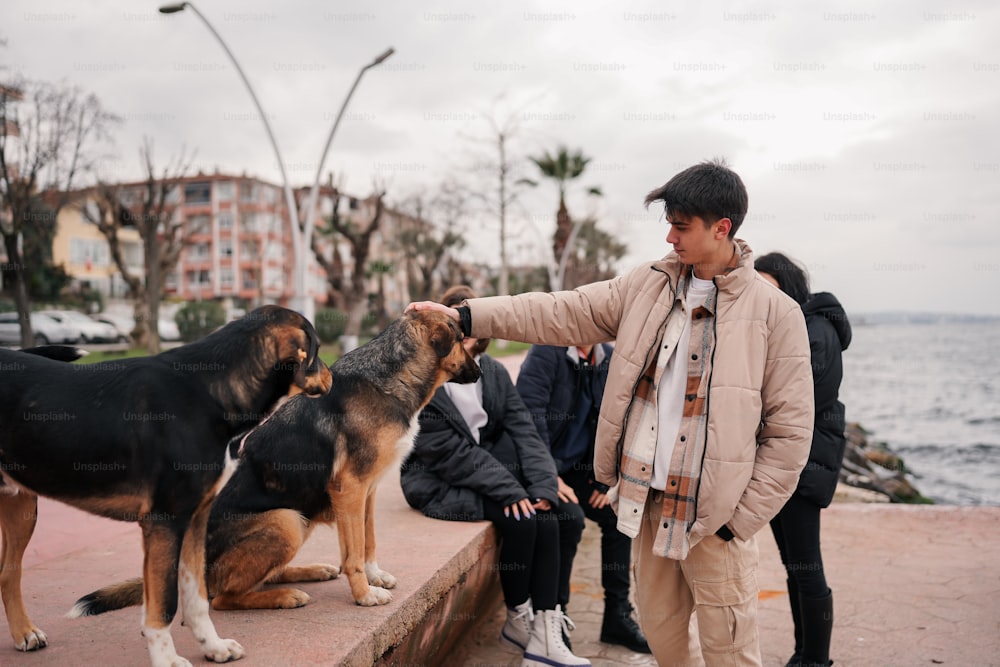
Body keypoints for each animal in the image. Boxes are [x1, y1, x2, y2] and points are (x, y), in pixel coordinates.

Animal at [0, 306, 336, 664]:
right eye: (316, 350)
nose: (333, 377)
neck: (209, 389)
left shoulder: (195, 520)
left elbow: (196, 596)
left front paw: (213, 646)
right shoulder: (164, 523)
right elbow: (164, 604)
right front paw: (166, 659)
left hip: (20, 505)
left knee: (9, 572)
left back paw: (24, 633)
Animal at [74, 308, 480, 616]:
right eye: (462, 338)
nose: (479, 371)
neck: (392, 375)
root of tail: (202, 565)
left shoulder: (368, 491)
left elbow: (368, 541)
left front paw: (374, 576)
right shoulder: (349, 489)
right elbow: (353, 553)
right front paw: (364, 594)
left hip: (297, 520)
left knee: (262, 577)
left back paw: (310, 572)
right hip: (286, 521)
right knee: (225, 597)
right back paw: (284, 597)